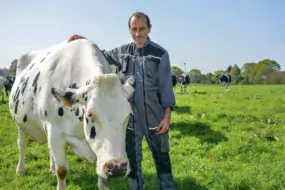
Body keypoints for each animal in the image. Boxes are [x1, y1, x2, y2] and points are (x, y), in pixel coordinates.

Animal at [8, 39, 134, 190]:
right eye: (90, 114)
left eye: (128, 115)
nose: (117, 168)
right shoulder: (54, 132)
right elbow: (62, 170)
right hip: (20, 124)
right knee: (22, 145)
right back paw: (20, 169)